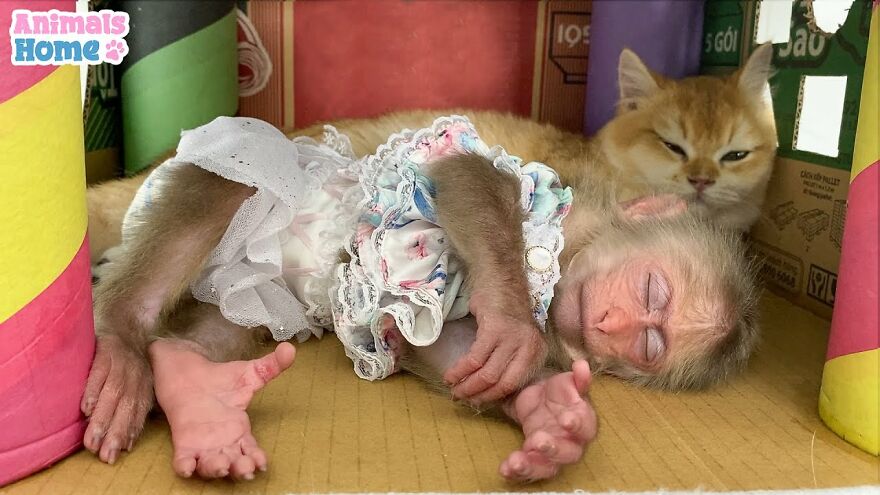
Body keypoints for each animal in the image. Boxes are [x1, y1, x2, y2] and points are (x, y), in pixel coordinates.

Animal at [81, 115, 759, 482]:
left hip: (251, 287)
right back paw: (120, 333)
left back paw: (192, 387)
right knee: (233, 181)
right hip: (242, 175)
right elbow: (465, 171)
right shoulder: (552, 200)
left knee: (236, 319)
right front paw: (514, 323)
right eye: (652, 291)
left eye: (649, 342)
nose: (610, 320)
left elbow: (427, 337)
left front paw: (552, 416)